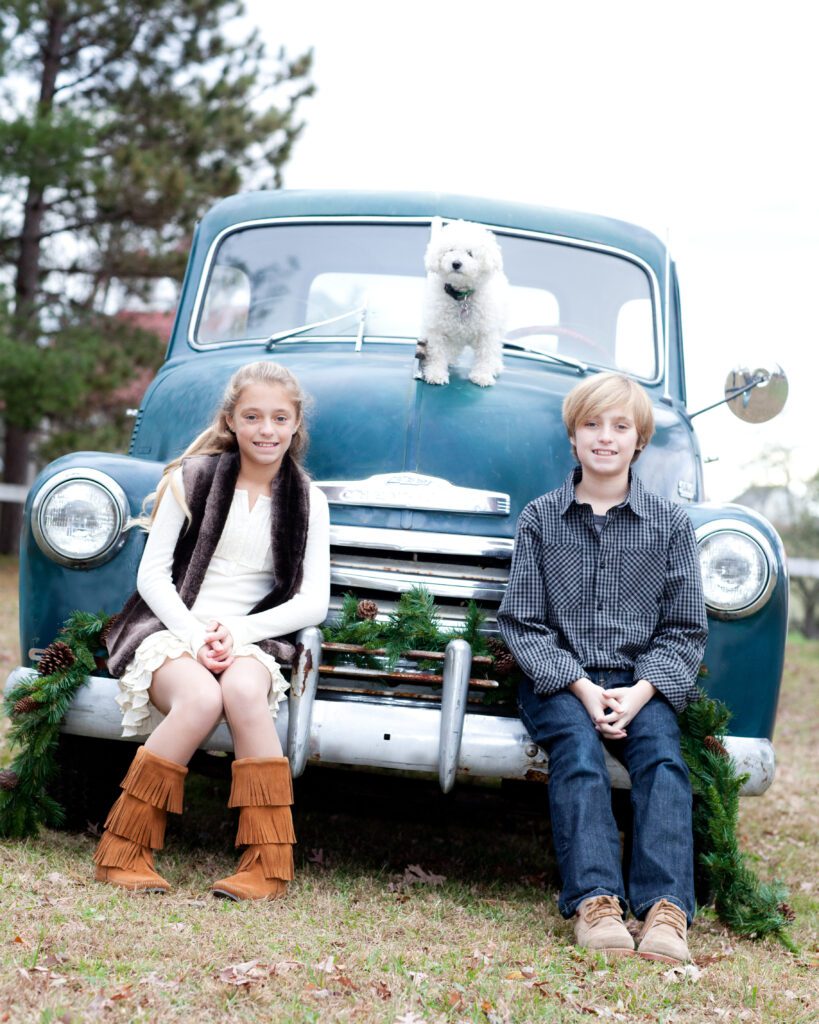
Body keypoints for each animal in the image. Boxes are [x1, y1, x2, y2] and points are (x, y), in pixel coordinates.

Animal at [419, 220, 507, 387]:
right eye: (450, 250)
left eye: (470, 253)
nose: (456, 263)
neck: (462, 297)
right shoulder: (438, 329)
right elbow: (437, 352)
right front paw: (436, 373)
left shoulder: (487, 332)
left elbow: (486, 353)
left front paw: (482, 375)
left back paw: (495, 366)